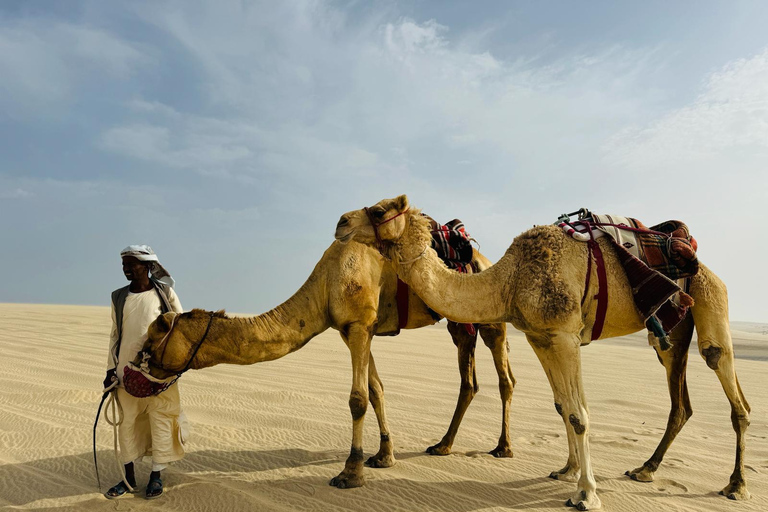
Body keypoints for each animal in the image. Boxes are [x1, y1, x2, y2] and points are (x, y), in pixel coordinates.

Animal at [133, 239, 516, 488]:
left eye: (151, 340)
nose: (134, 367)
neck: (325, 283)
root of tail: (483, 257)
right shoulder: (354, 329)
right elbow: (376, 390)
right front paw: (384, 456)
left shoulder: (359, 324)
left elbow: (357, 399)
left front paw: (351, 473)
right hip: (458, 323)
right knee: (468, 377)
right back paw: (442, 446)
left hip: (492, 315)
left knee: (504, 376)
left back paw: (503, 447)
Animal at [334, 194, 752, 510]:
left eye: (378, 211)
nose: (340, 222)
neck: (509, 279)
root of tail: (702, 261)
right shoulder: (540, 336)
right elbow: (563, 407)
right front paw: (567, 471)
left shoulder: (565, 335)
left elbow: (580, 414)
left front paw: (586, 495)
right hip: (669, 331)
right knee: (681, 399)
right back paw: (645, 469)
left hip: (710, 298)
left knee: (726, 379)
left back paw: (736, 485)